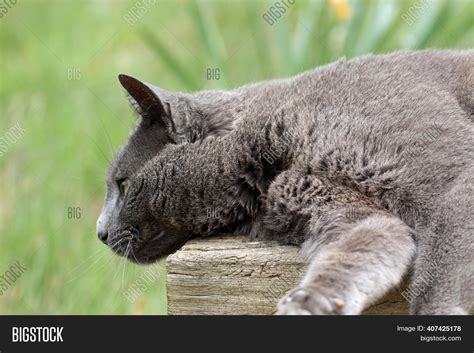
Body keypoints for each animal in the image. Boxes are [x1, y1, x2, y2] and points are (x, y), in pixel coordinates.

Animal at [97, 50, 474, 314]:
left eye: (124, 185)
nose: (99, 231)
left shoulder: (450, 181)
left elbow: (440, 274)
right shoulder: (337, 207)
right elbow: (363, 244)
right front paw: (310, 303)